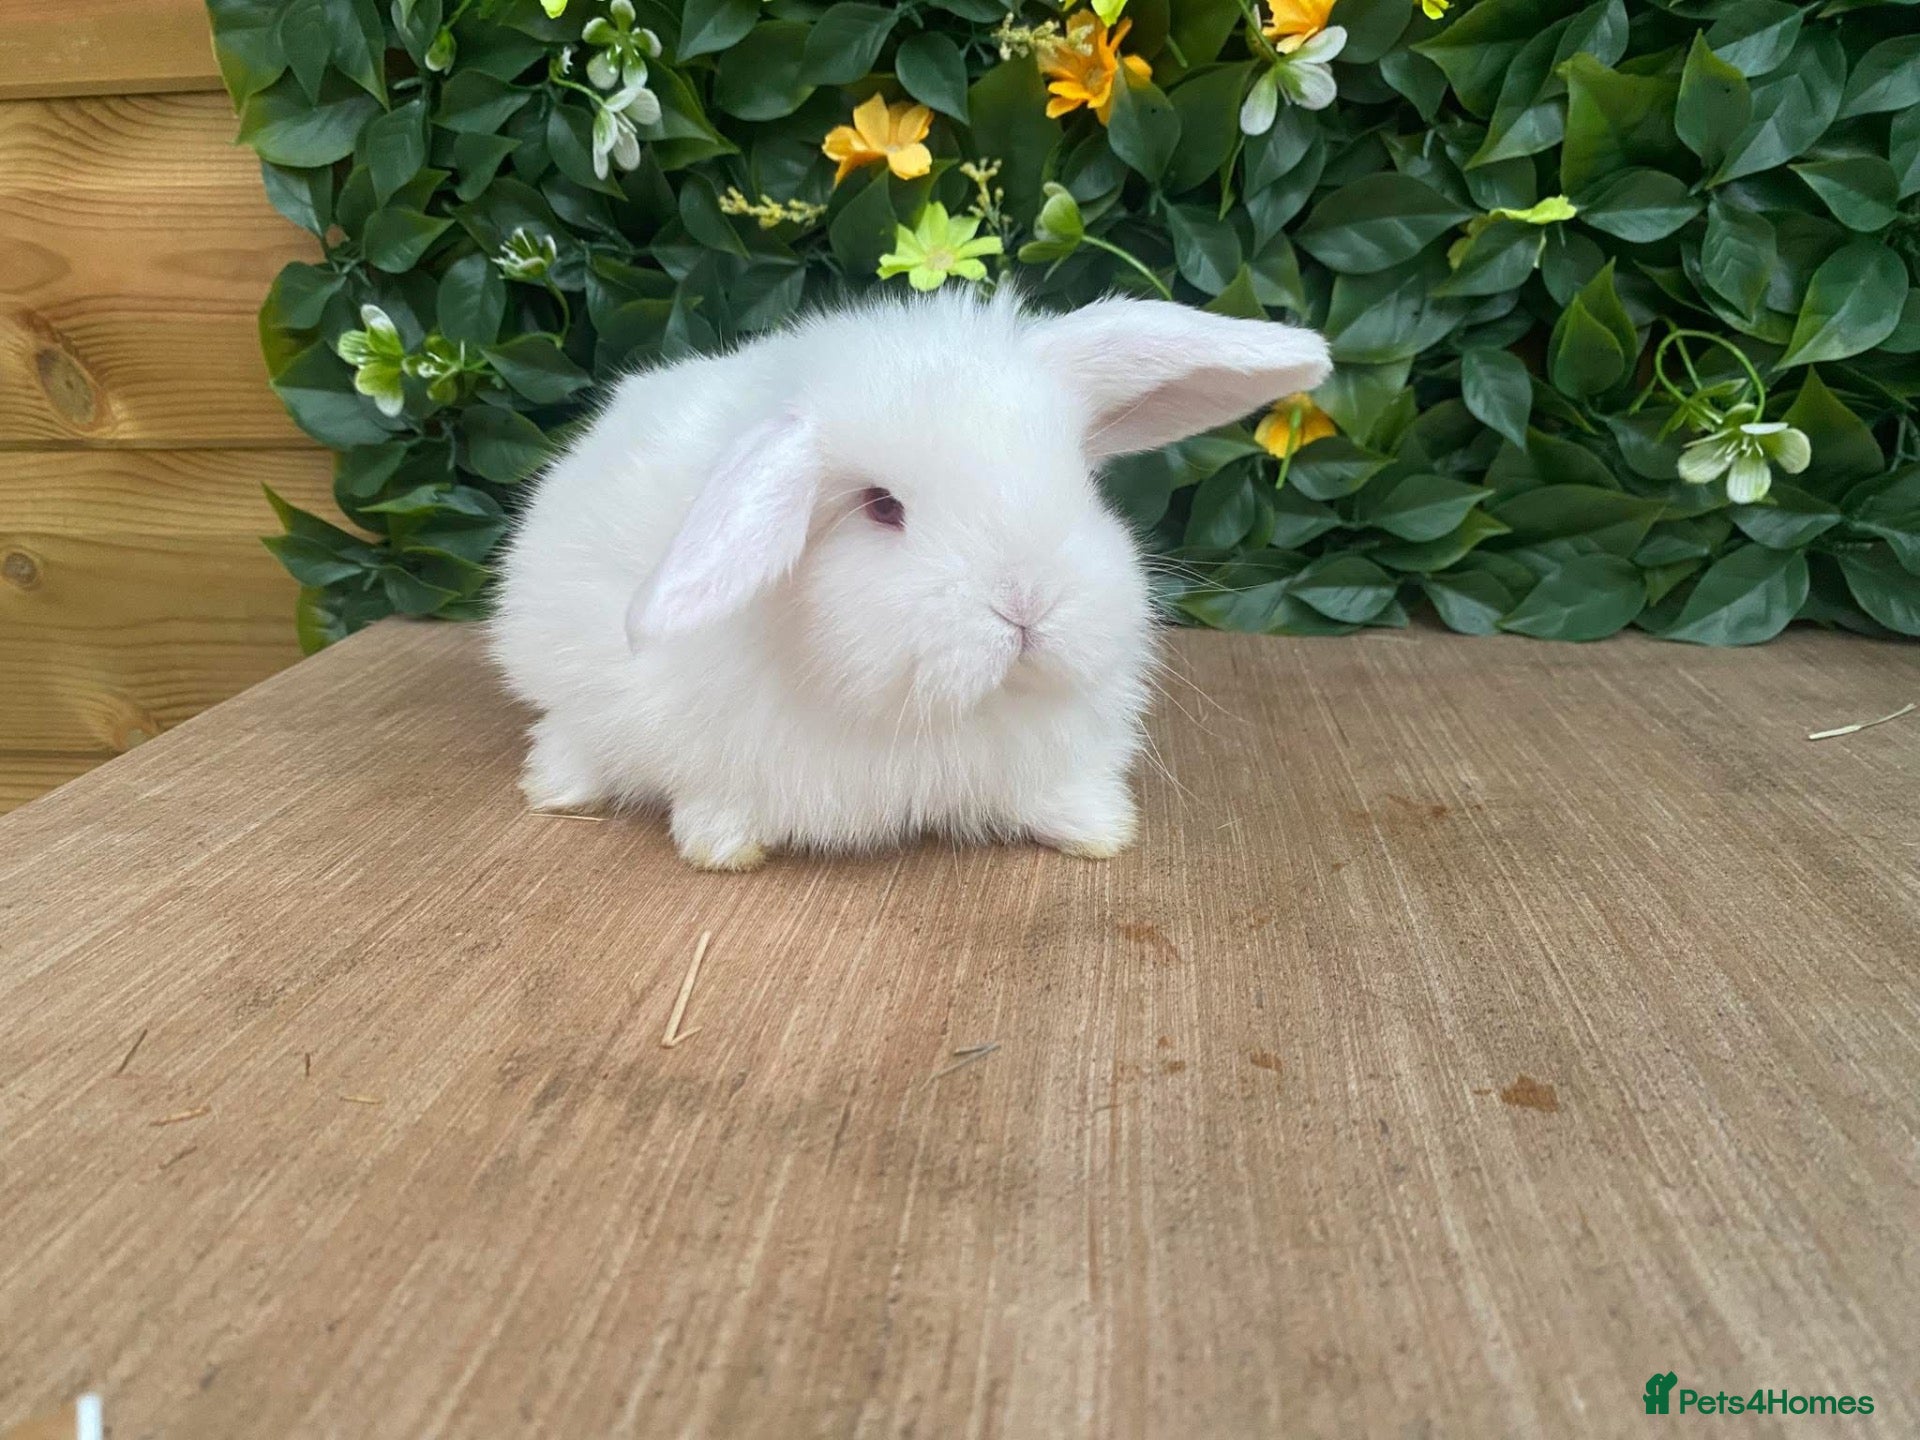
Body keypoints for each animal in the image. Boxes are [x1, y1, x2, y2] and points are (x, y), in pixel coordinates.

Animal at [489, 288, 1330, 870]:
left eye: (1081, 481)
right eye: (882, 506)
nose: (1027, 607)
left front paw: (1098, 831)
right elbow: (714, 806)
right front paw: (724, 849)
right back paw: (554, 788)